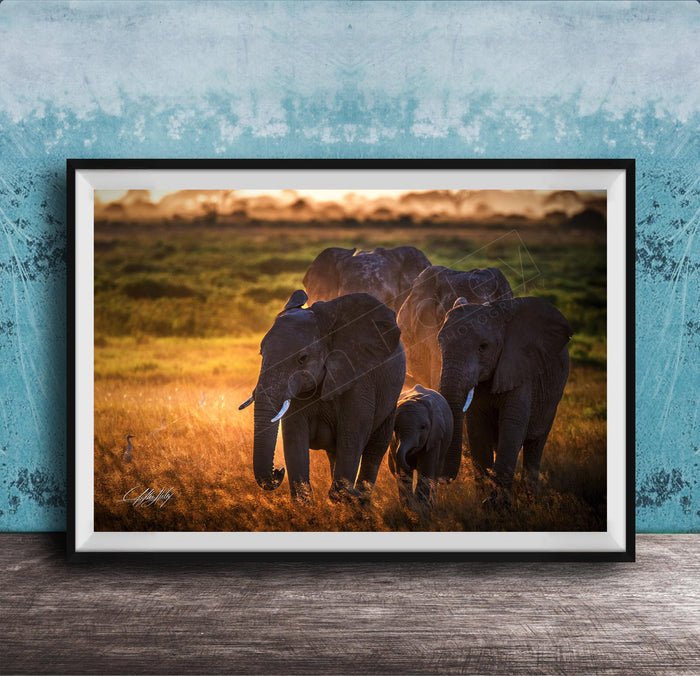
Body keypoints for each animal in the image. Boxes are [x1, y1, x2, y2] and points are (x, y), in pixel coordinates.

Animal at [240, 289, 405, 502]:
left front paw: (342, 498)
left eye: (302, 358)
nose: (278, 471)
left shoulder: (359, 376)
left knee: (375, 449)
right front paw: (305, 504)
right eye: (261, 354)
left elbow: (352, 434)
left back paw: (361, 499)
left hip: (391, 397)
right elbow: (294, 437)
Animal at [437, 296, 572, 504]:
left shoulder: (520, 367)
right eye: (440, 344)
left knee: (535, 446)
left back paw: (531, 501)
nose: (442, 480)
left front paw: (497, 505)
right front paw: (484, 501)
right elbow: (477, 428)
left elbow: (512, 424)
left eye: (483, 347)